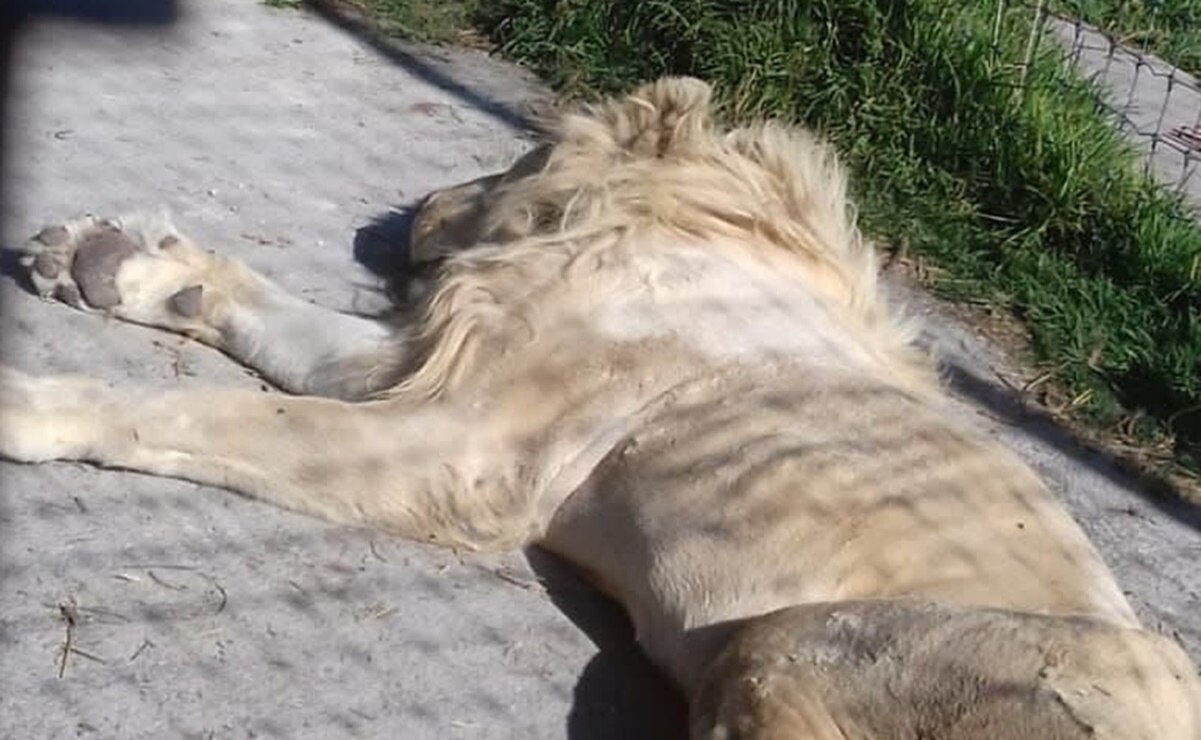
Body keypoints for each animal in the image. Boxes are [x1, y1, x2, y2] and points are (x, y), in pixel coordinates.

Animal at [2, 77, 1198, 738]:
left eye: (519, 151)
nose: (415, 211)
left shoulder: (462, 444)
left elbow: (201, 419)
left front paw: (31, 400)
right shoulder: (435, 371)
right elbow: (256, 315)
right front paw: (117, 267)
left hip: (811, 640)